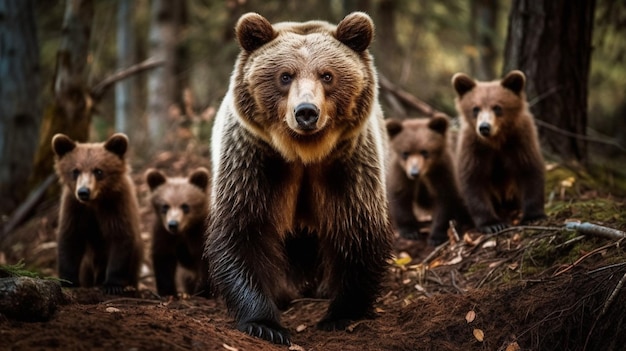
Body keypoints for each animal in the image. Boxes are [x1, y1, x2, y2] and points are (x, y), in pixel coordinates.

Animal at [51, 133, 144, 296]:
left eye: (98, 171)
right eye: (75, 171)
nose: (83, 192)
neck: (95, 202)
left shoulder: (116, 206)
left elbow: (120, 238)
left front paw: (113, 284)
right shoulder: (75, 208)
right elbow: (70, 238)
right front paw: (68, 281)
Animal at [146, 168, 212, 300]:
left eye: (185, 206)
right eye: (165, 206)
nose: (173, 224)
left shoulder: (200, 234)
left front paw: (202, 292)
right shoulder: (163, 234)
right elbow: (164, 260)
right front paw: (168, 292)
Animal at [204, 11, 390, 346]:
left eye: (327, 75)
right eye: (285, 76)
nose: (306, 112)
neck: (303, 153)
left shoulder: (346, 163)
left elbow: (356, 229)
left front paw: (341, 314)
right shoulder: (255, 159)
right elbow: (243, 230)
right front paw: (265, 324)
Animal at [386, 114, 468, 246]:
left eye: (425, 151)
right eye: (405, 153)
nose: (414, 172)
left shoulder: (441, 171)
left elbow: (444, 199)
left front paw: (436, 236)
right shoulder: (400, 172)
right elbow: (400, 196)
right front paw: (410, 231)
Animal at [450, 71, 544, 234]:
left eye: (497, 107)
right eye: (475, 108)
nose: (484, 127)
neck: (495, 141)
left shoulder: (519, 141)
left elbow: (529, 170)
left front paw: (533, 215)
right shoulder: (475, 148)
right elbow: (473, 180)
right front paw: (492, 224)